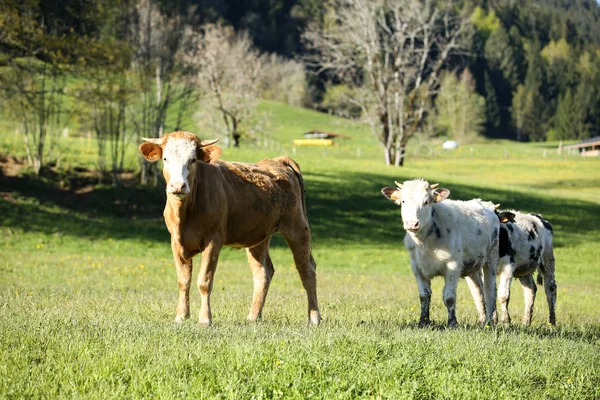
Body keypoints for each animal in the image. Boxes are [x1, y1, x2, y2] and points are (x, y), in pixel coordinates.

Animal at [382, 180, 500, 326]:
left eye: (426, 202)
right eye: (403, 201)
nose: (412, 223)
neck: (425, 244)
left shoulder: (453, 266)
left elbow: (449, 297)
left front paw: (452, 323)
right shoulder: (417, 268)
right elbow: (424, 296)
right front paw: (423, 322)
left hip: (491, 259)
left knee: (490, 291)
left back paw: (490, 321)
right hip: (473, 266)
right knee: (478, 291)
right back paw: (483, 321)